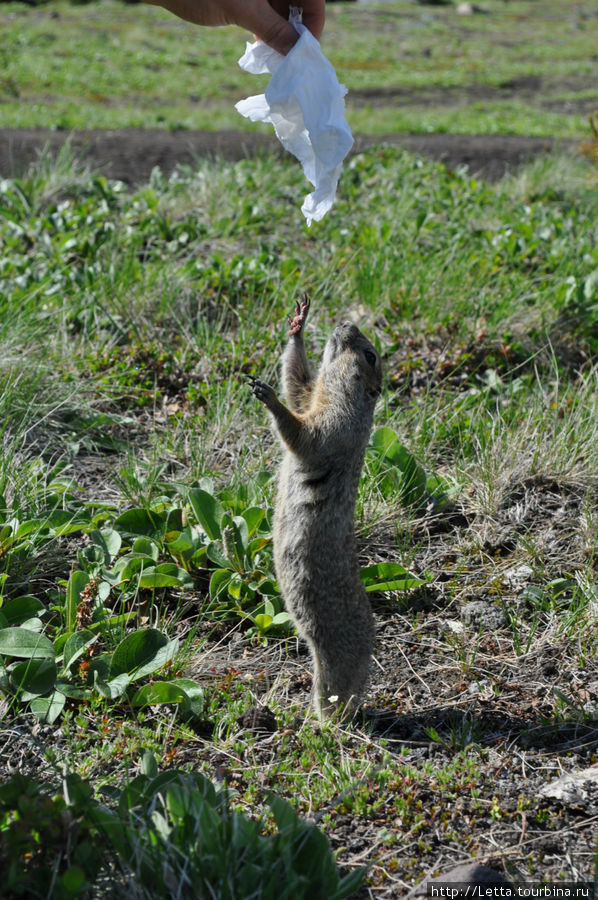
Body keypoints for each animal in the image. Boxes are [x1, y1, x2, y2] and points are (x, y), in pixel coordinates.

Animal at [250, 298, 384, 720]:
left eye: (370, 355)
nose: (346, 324)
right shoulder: (312, 397)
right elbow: (297, 385)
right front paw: (297, 323)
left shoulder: (334, 425)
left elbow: (304, 434)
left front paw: (268, 397)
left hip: (334, 663)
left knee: (335, 697)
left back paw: (320, 724)